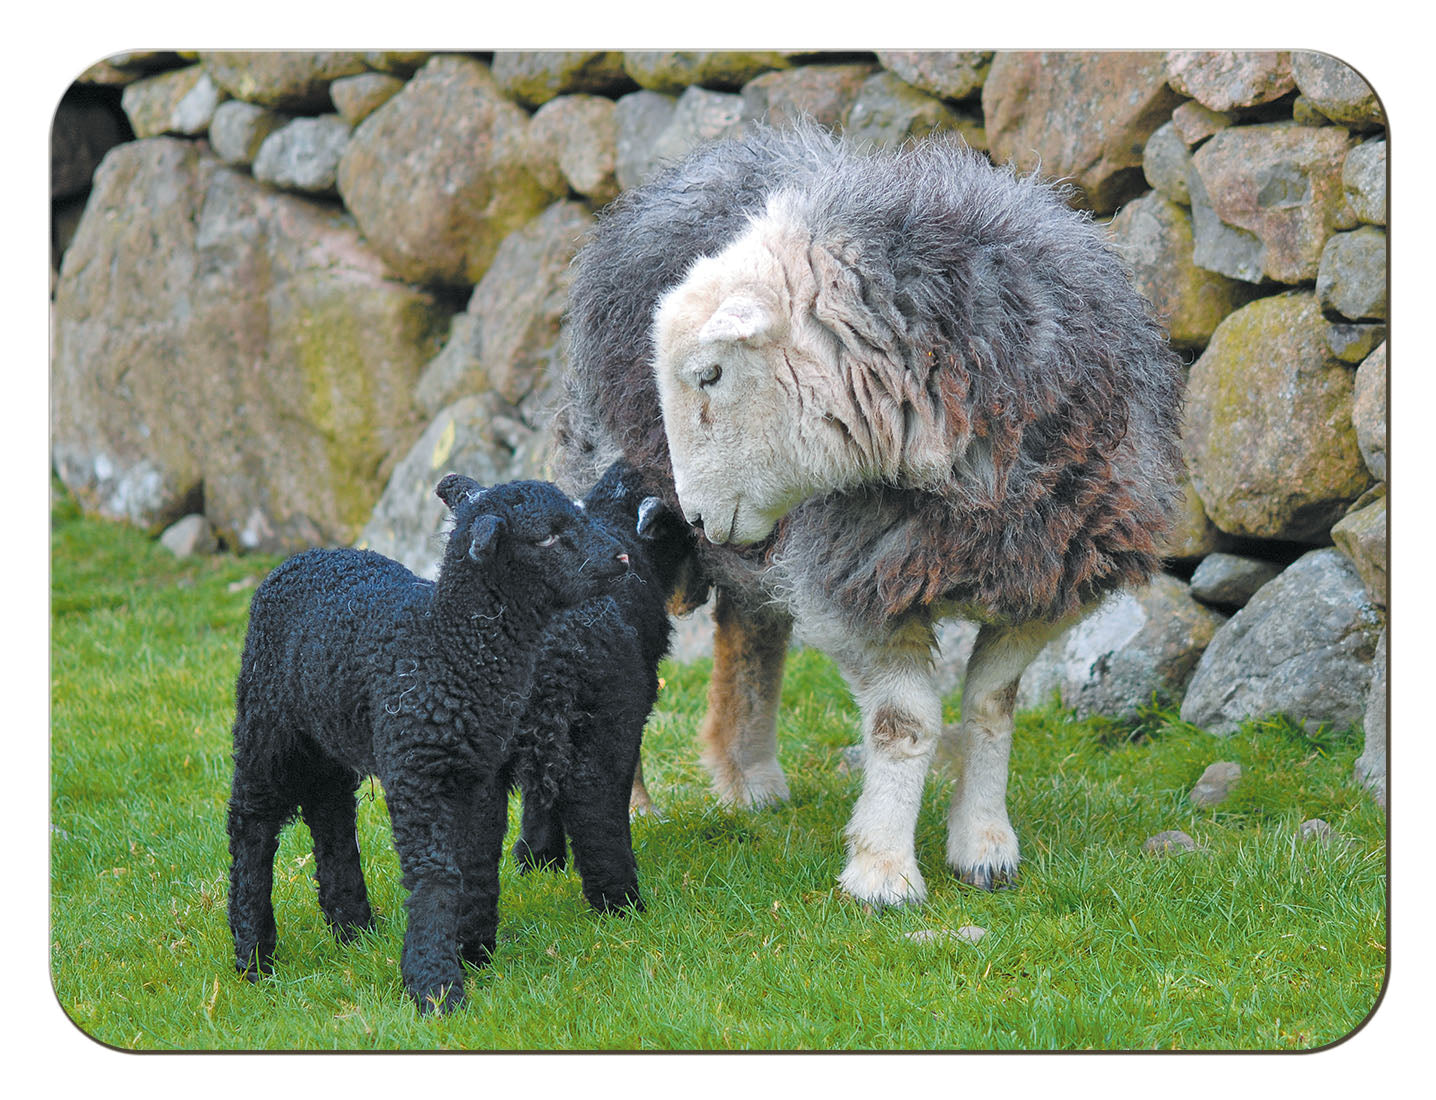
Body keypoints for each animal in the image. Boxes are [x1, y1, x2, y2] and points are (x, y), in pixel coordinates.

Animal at [229, 473, 634, 1016]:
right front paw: (435, 988)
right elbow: (436, 875)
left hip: (327, 732)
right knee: (251, 825)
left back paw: (353, 929)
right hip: (266, 723)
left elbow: (477, 862)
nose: (622, 558)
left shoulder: (478, 775)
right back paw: (253, 956)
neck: (448, 649)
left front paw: (474, 951)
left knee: (330, 813)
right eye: (546, 537)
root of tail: (304, 556)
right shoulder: (417, 773)